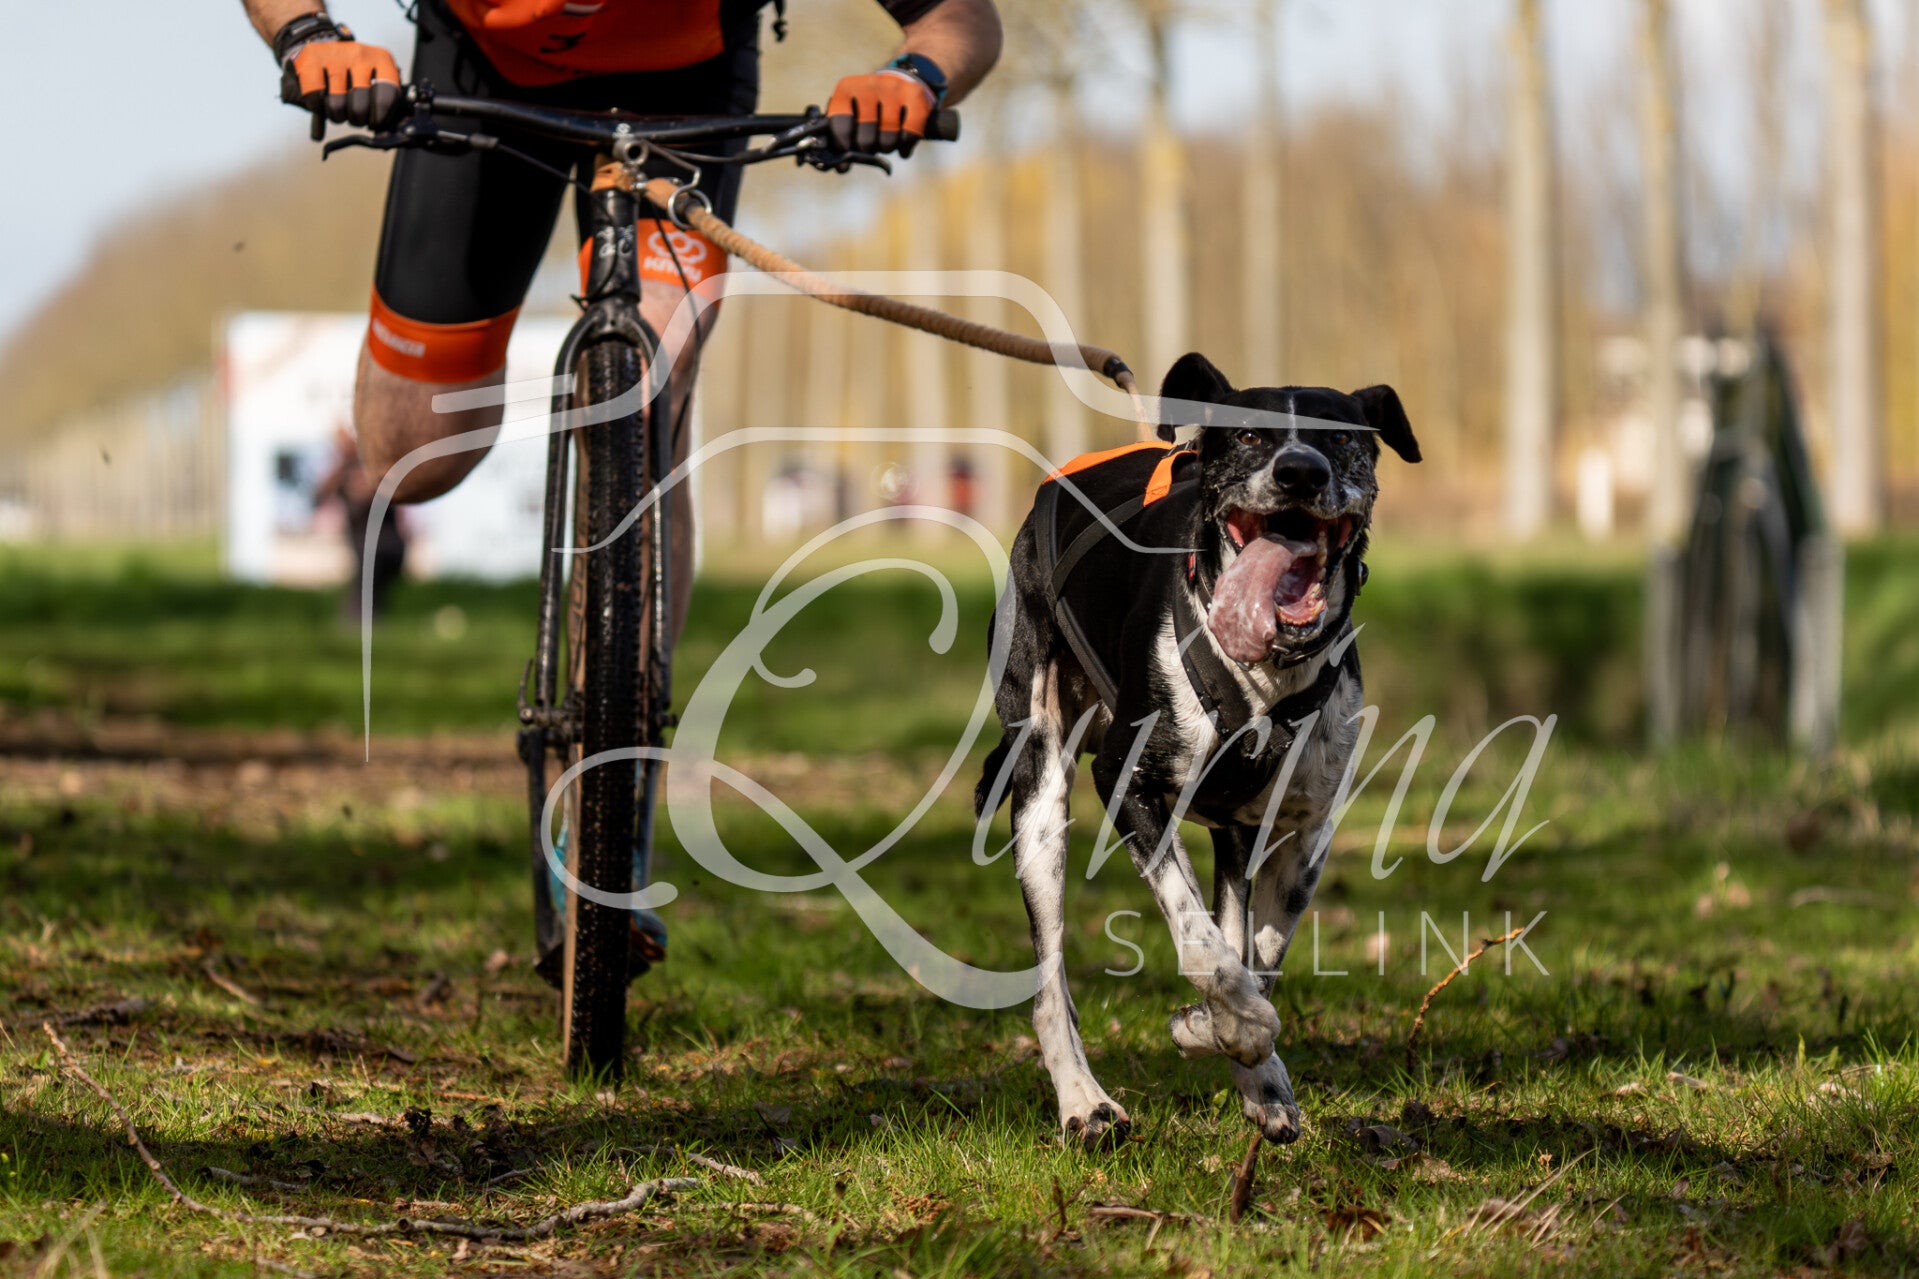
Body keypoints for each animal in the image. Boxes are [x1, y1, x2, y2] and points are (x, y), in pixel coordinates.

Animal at [975, 352, 1421, 1150]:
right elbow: (1202, 941)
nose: (1299, 471)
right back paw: (1084, 1102)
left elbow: (1257, 958)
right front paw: (1230, 1027)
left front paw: (1236, 1054)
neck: (1264, 671)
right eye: (1246, 434)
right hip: (1041, 795)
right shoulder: (1125, 782)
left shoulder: (1300, 834)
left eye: (1341, 437)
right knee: (1051, 982)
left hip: (1235, 834)